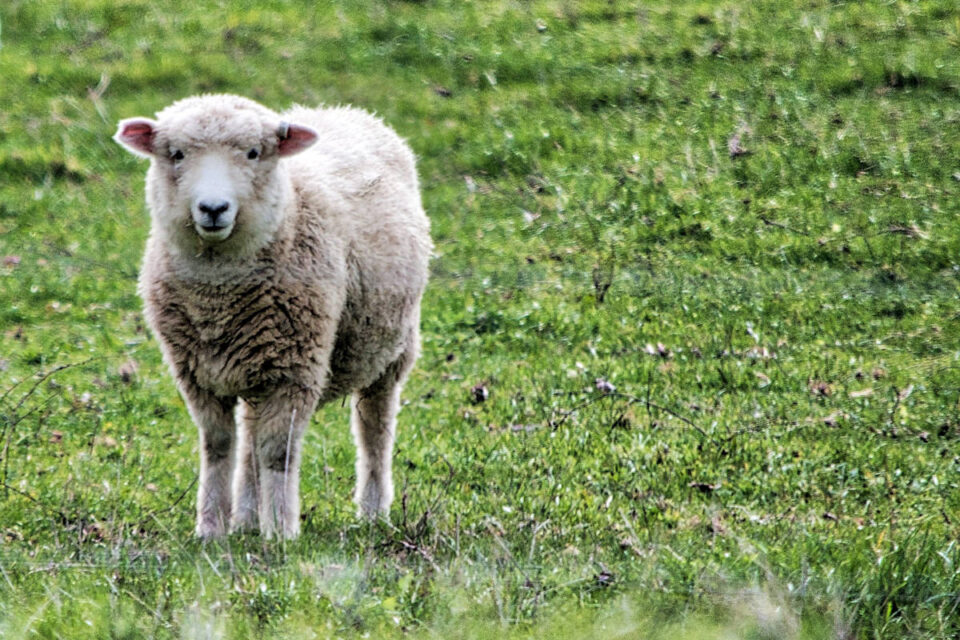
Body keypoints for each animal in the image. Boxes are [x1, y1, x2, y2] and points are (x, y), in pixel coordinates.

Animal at [114, 94, 431, 539]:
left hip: (392, 350)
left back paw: (372, 512)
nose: (213, 208)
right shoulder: (197, 372)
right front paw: (211, 528)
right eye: (176, 154)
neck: (219, 294)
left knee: (375, 431)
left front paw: (281, 531)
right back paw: (247, 517)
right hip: (252, 362)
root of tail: (343, 110)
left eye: (253, 153)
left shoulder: (294, 370)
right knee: (250, 437)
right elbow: (218, 446)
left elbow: (278, 453)